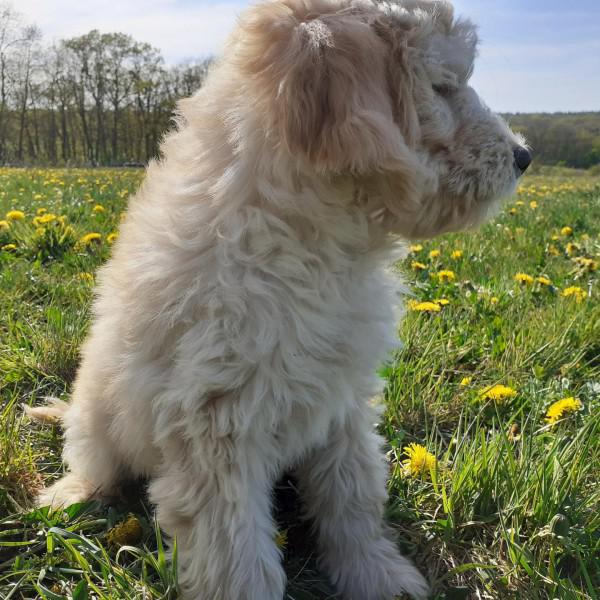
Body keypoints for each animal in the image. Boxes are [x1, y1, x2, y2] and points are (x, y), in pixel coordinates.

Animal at [27, 0, 528, 596]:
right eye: (443, 85)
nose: (524, 156)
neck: (313, 238)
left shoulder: (344, 397)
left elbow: (352, 491)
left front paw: (376, 572)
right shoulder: (216, 421)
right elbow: (236, 551)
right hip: (97, 413)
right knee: (93, 459)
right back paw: (71, 495)